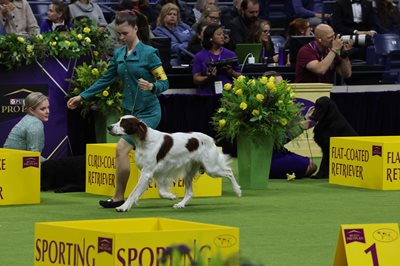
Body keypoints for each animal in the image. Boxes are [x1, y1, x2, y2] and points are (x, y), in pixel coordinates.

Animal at [106, 115, 241, 212]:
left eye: (123, 123)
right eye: (119, 120)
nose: (109, 127)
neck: (144, 140)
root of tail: (211, 139)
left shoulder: (147, 172)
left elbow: (133, 192)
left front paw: (123, 207)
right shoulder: (158, 172)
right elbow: (161, 191)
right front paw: (171, 196)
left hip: (211, 168)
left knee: (229, 172)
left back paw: (238, 191)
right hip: (189, 172)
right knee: (189, 192)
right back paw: (180, 204)